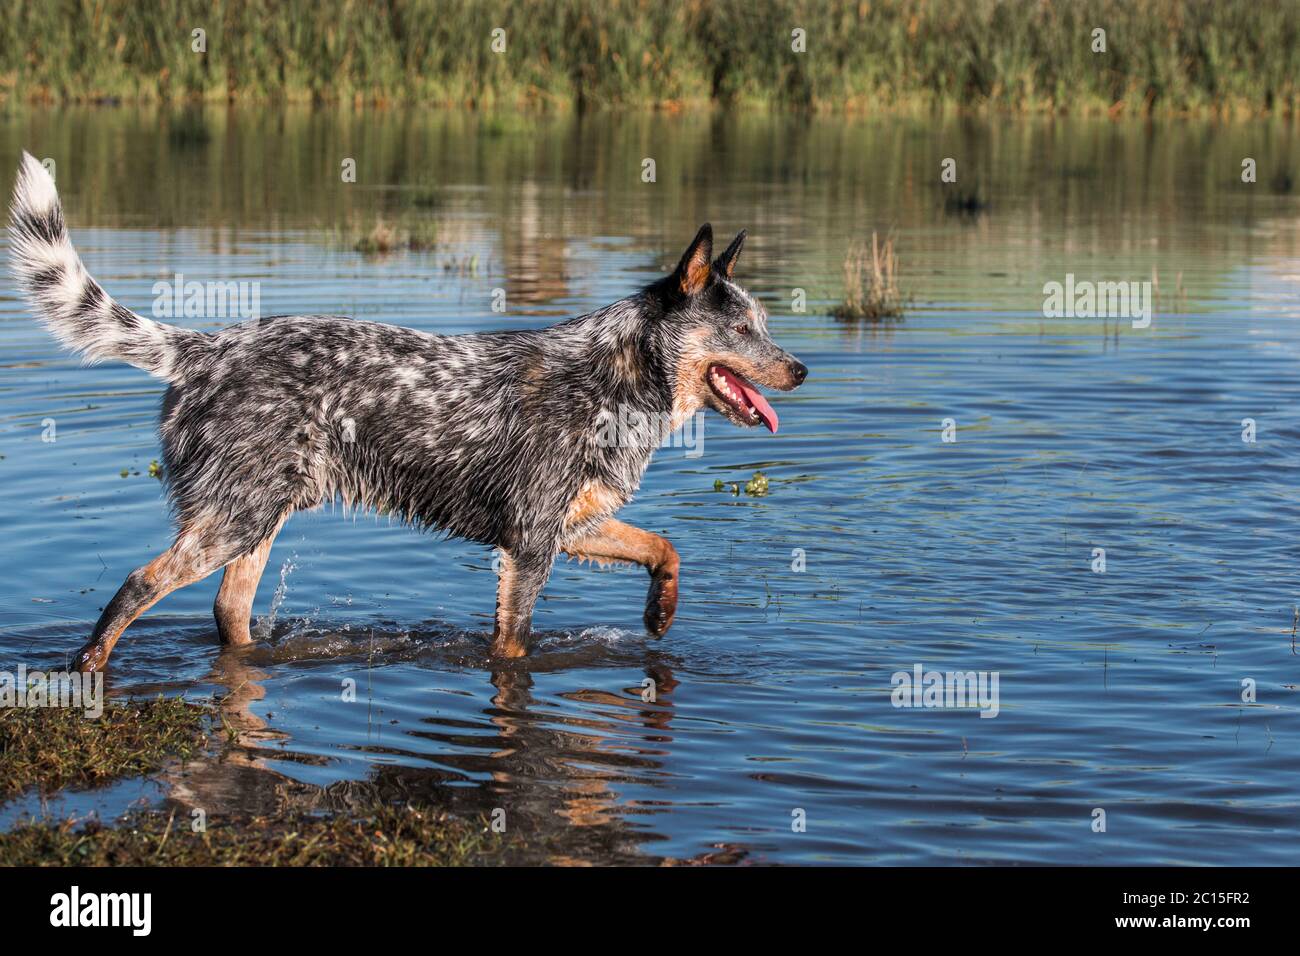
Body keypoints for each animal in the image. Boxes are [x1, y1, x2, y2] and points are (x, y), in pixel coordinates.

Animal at [7, 151, 800, 671]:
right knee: (136, 586)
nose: (800, 367)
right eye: (742, 328)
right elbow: (513, 645)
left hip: (255, 520)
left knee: (227, 610)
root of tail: (205, 347)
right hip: (233, 521)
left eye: (764, 322)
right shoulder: (529, 547)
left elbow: (663, 546)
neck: (618, 376)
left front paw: (660, 611)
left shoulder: (571, 526)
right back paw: (86, 670)